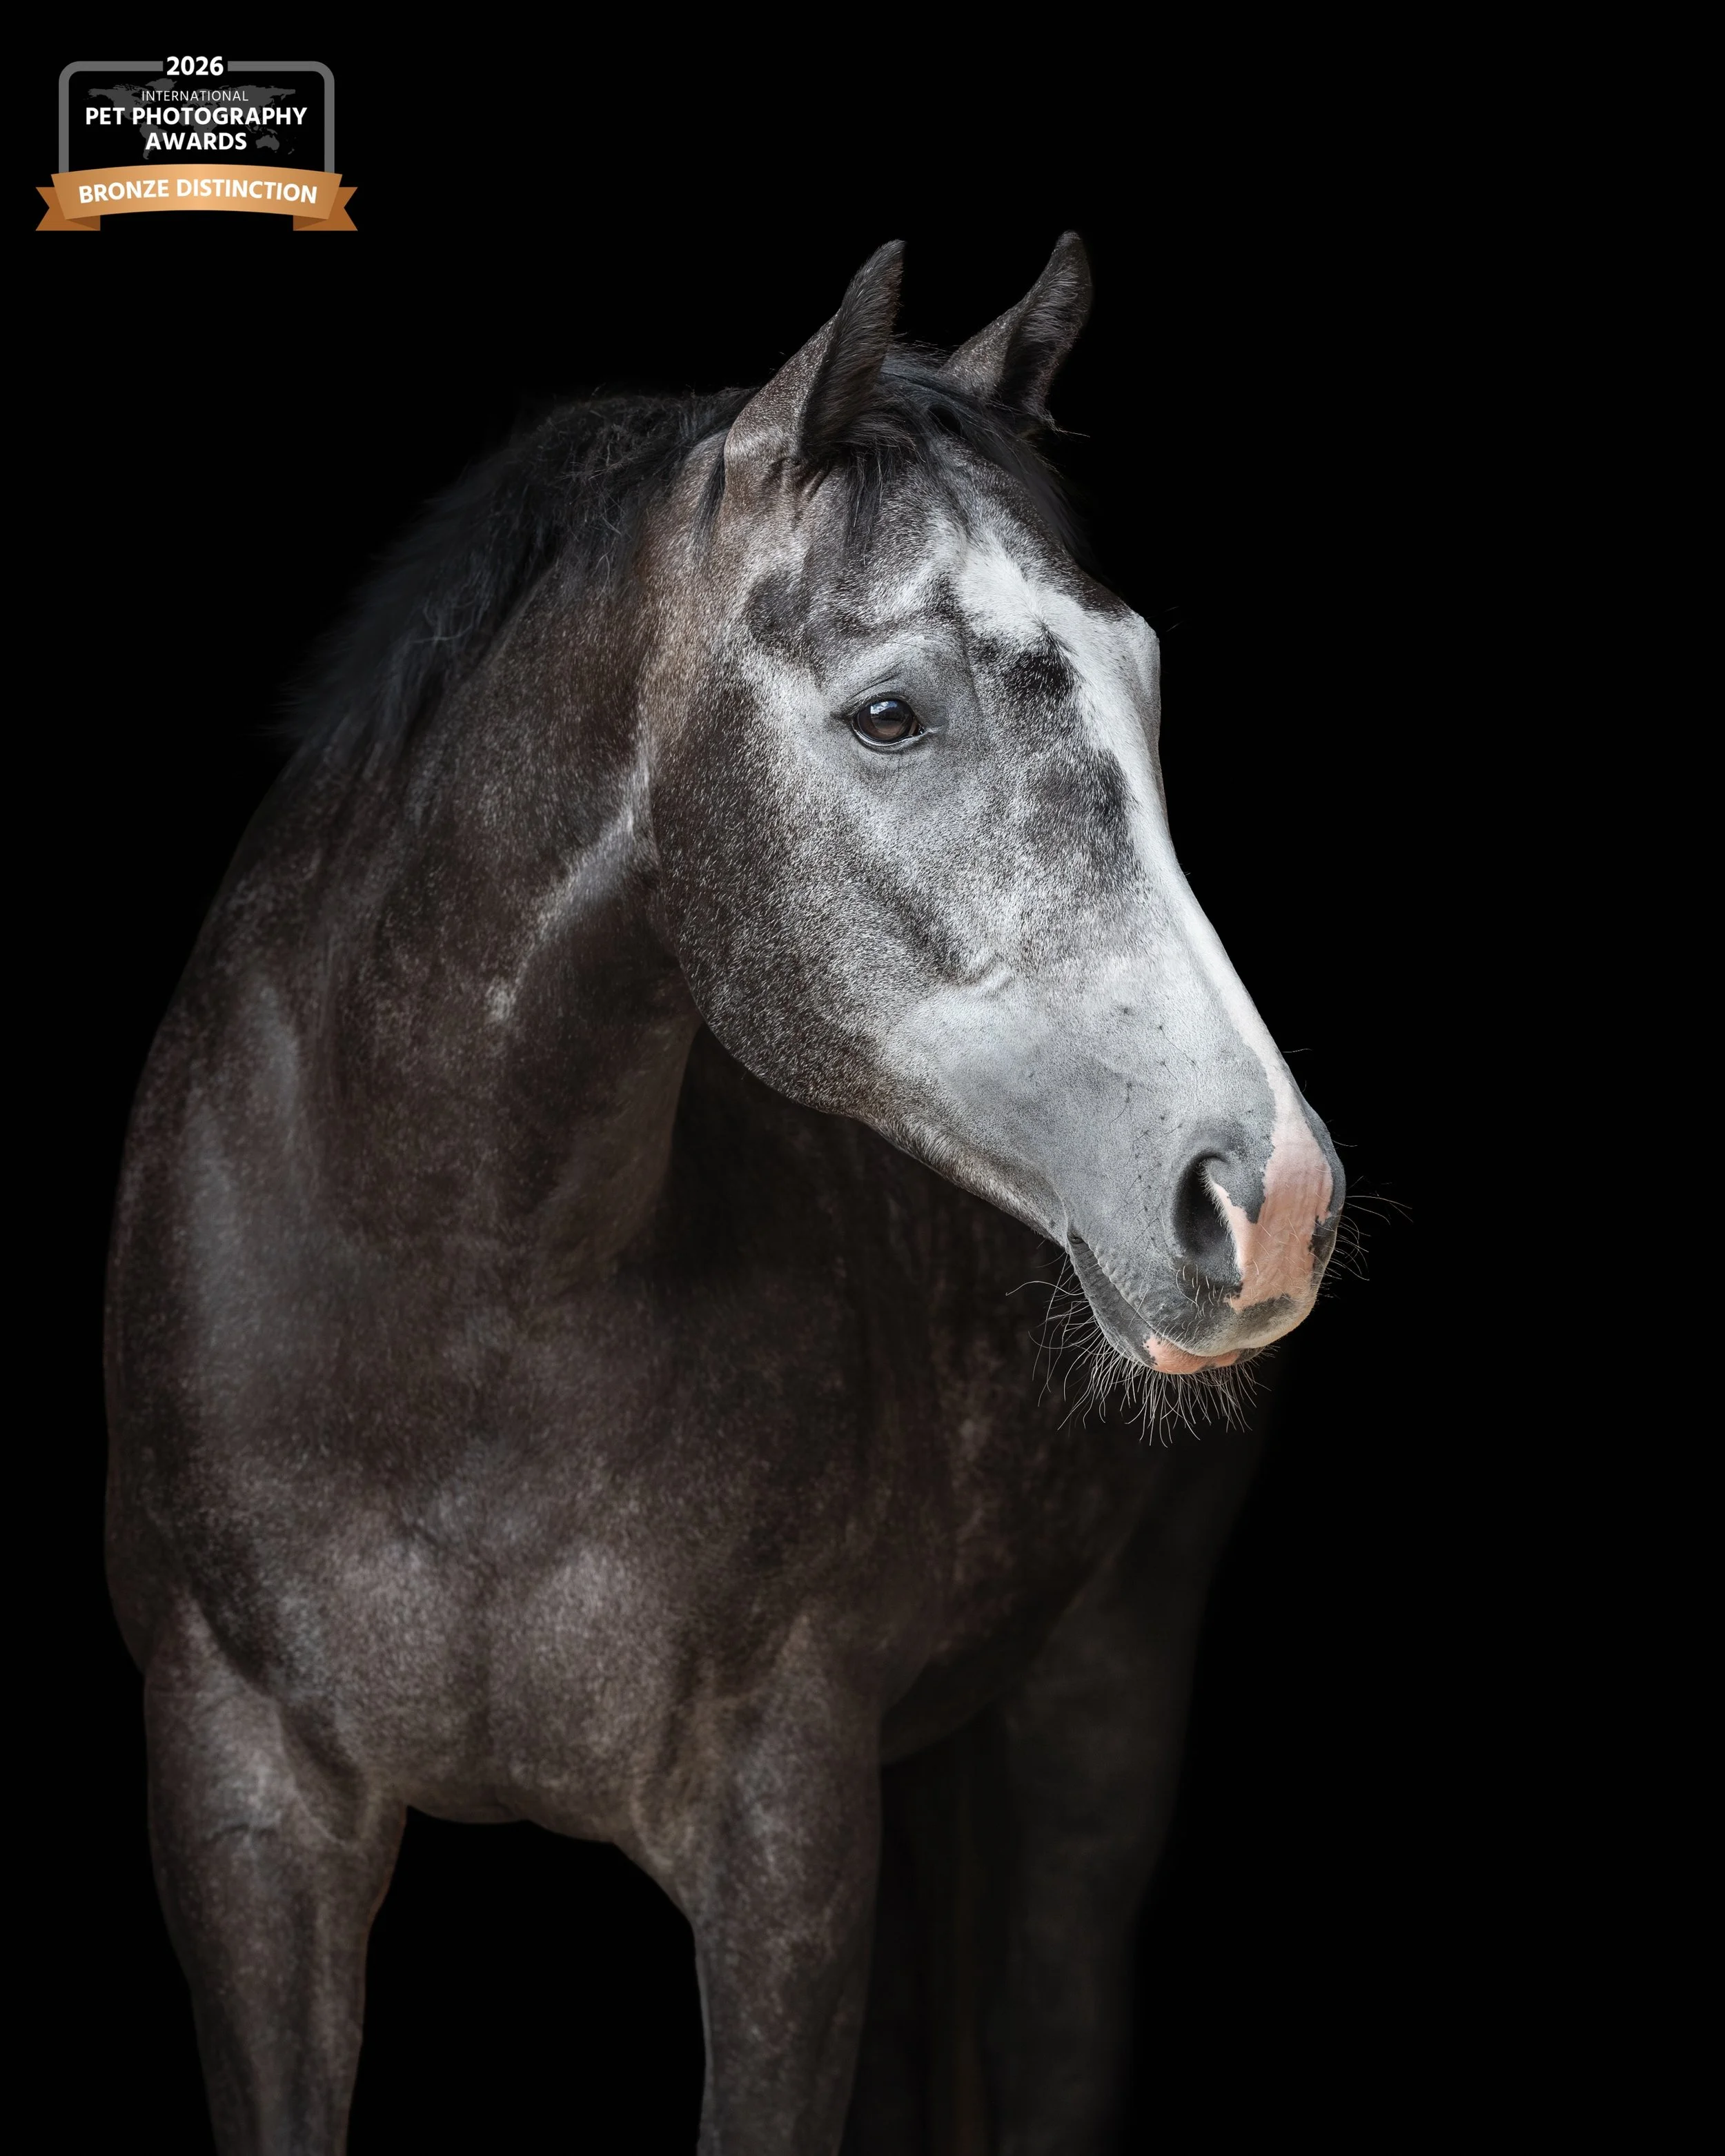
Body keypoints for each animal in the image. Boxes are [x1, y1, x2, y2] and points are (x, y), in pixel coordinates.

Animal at [105, 233, 1344, 2154]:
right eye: (890, 712)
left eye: (1140, 672)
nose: (1266, 1197)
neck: (452, 1313)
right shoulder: (239, 1815)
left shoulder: (786, 1845)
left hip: (1099, 1690)